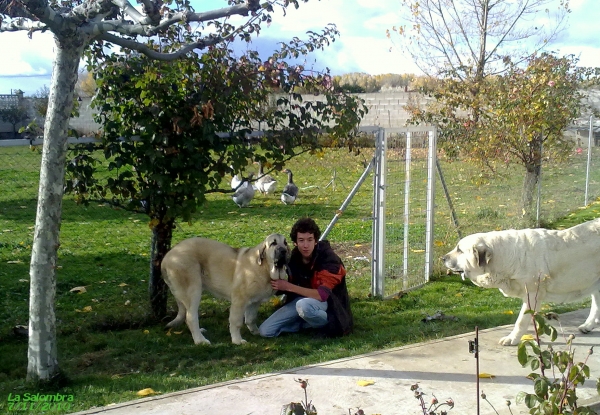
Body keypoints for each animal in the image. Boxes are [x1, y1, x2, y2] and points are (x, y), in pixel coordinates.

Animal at [159, 234, 290, 344]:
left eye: (285, 243)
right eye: (273, 243)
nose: (283, 250)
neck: (265, 267)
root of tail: (167, 257)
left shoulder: (255, 301)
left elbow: (251, 319)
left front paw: (255, 332)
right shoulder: (239, 300)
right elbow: (236, 322)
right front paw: (237, 340)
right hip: (193, 290)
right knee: (191, 317)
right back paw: (200, 340)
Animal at [440, 219, 600, 346]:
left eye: (460, 250)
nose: (442, 258)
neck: (506, 257)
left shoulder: (532, 294)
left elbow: (521, 321)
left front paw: (513, 339)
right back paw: (588, 325)